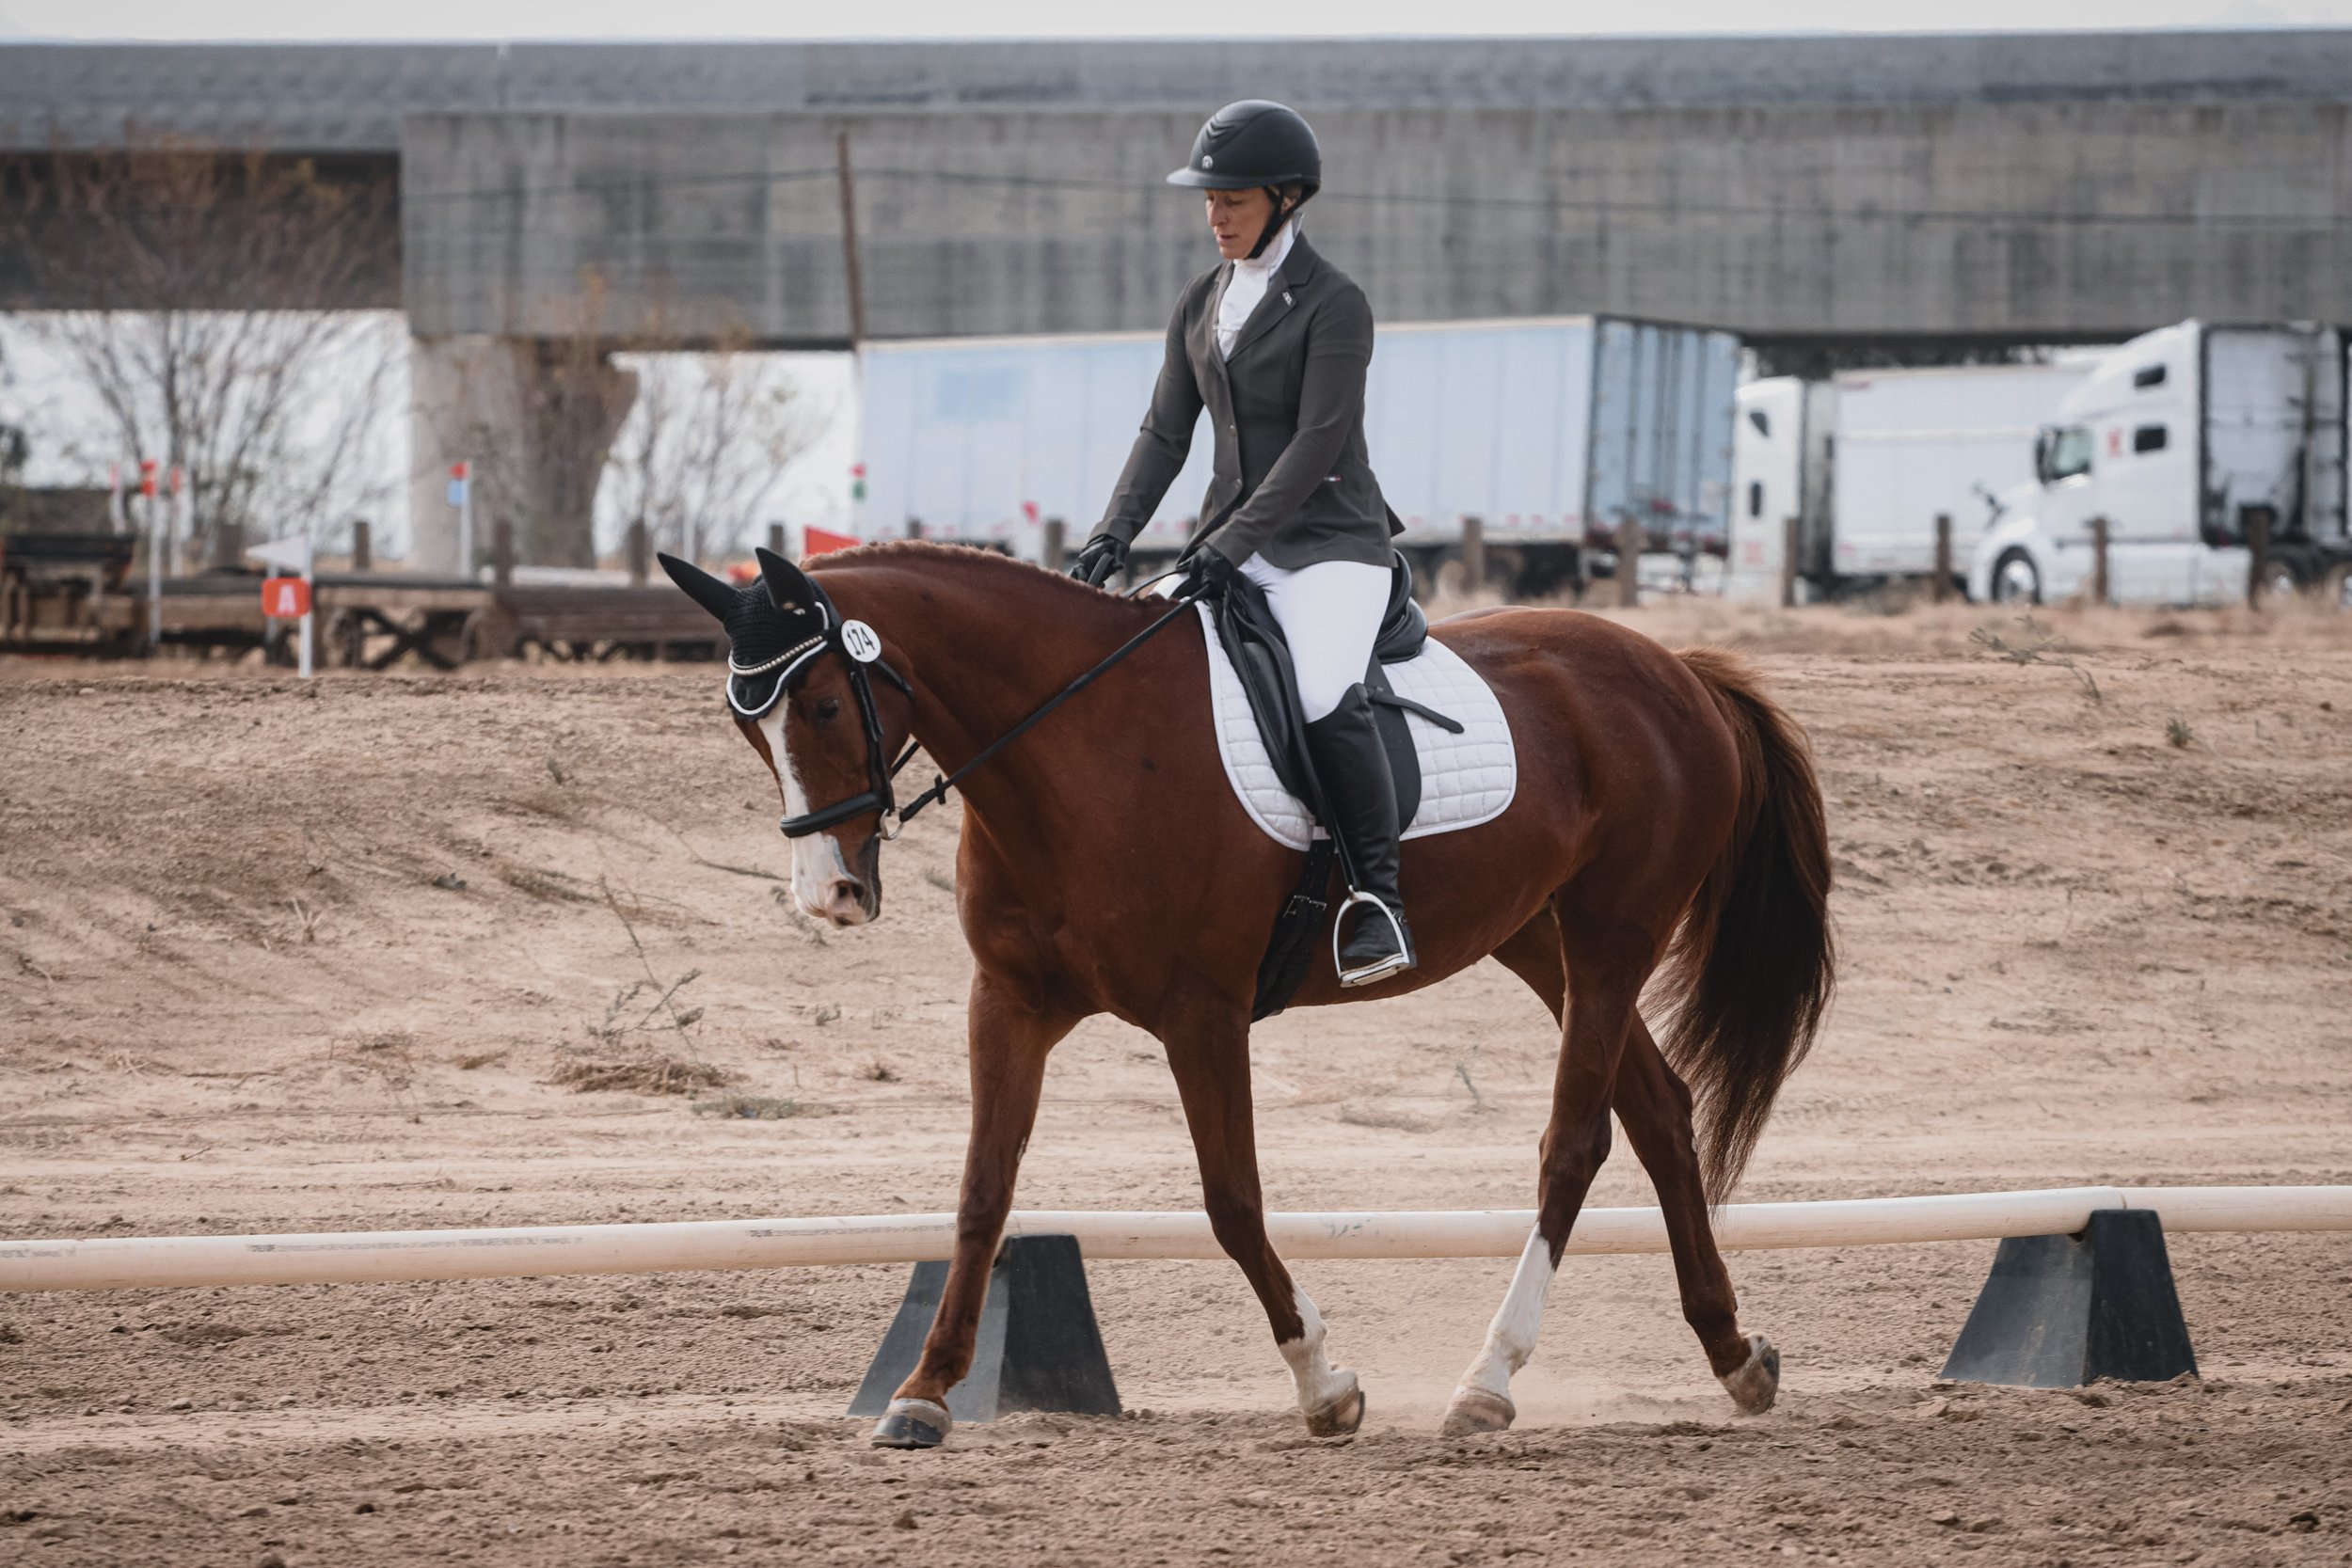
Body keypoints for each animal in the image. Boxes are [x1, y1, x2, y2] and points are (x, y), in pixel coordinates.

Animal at [656, 540, 1834, 1448]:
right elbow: (981, 1193)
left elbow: (1230, 1198)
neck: (1071, 750)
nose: (831, 894)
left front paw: (1324, 1384)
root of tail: (1673, 666)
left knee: (1575, 1139)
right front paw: (922, 1392)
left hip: (1608, 935)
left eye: (819, 701)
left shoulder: (1201, 1010)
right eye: (745, 724)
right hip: (1540, 940)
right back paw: (1734, 1353)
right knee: (1659, 1109)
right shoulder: (1009, 1001)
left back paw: (1488, 1381)